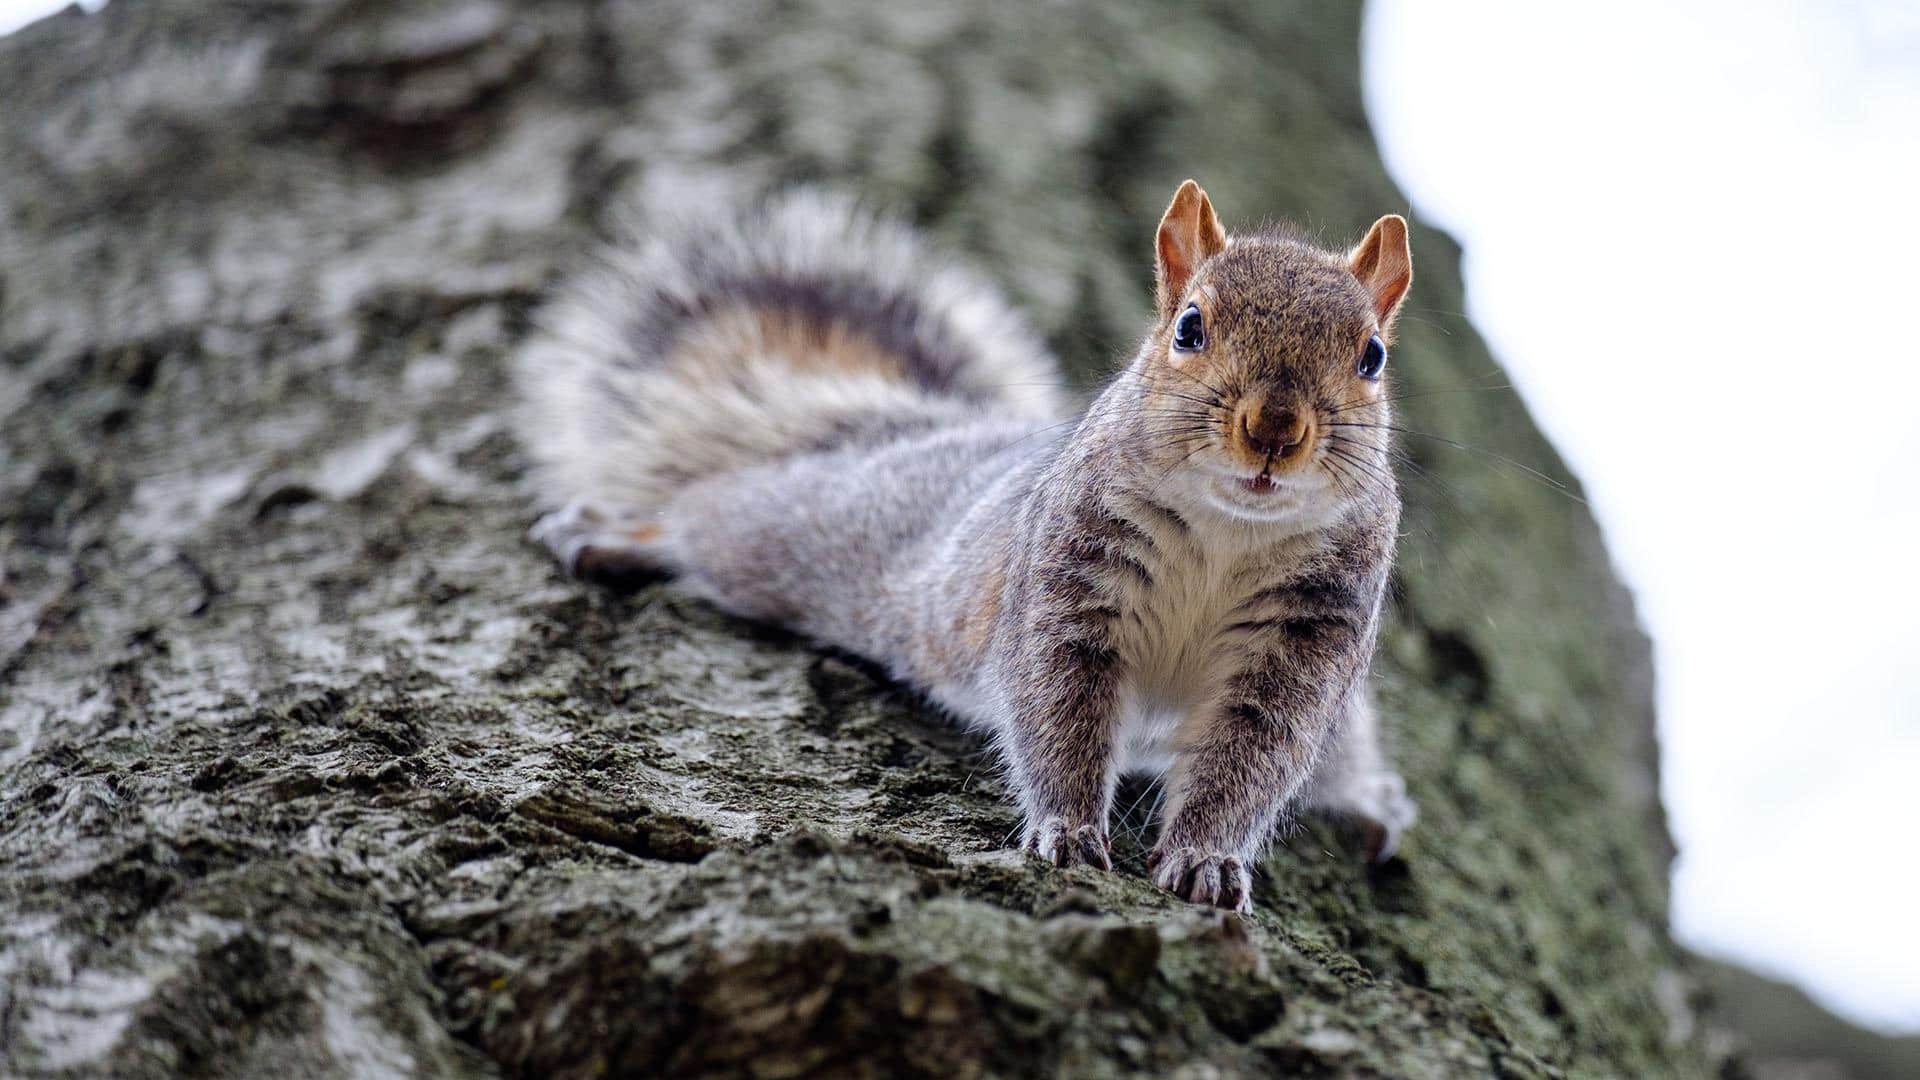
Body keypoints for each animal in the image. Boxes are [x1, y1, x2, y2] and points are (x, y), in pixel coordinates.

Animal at [516, 181, 1417, 912]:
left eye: (1373, 356)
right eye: (1190, 327)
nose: (1274, 430)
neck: (1231, 529)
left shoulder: (1307, 639)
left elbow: (1252, 757)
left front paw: (1205, 859)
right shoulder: (1068, 585)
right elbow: (1059, 711)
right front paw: (1068, 832)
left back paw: (1369, 802)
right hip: (801, 530)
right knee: (708, 515)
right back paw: (621, 535)